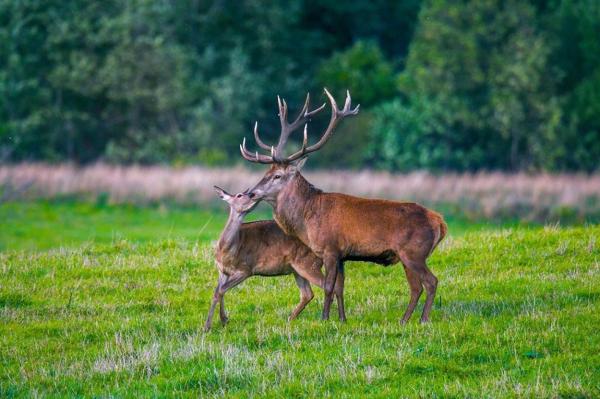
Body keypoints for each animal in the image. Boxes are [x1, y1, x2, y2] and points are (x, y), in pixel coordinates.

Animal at [205, 187, 338, 332]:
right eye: (240, 195)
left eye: (245, 193)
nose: (252, 195)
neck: (227, 250)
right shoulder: (222, 270)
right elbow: (218, 291)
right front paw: (223, 320)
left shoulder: (246, 269)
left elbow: (220, 290)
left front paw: (210, 325)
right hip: (297, 269)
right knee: (307, 294)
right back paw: (290, 318)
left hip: (308, 263)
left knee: (329, 286)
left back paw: (326, 318)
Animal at [241, 89, 448, 324]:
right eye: (265, 173)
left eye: (277, 175)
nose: (251, 193)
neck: (307, 219)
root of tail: (440, 222)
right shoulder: (342, 254)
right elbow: (340, 287)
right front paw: (342, 319)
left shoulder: (330, 248)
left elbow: (328, 286)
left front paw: (324, 319)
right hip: (407, 256)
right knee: (416, 287)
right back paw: (403, 321)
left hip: (414, 252)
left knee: (431, 281)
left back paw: (423, 320)